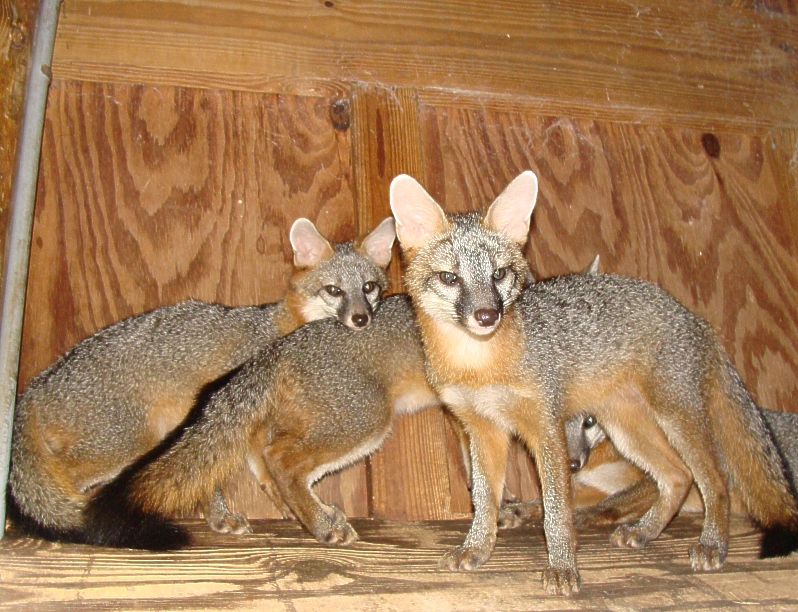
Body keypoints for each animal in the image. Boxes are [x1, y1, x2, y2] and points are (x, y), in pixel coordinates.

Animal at [8, 216, 396, 545]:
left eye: (369, 288)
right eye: (334, 291)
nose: (361, 319)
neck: (280, 330)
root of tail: (36, 384)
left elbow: (251, 469)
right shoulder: (235, 409)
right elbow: (253, 467)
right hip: (125, 444)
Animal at [81, 293, 439, 550]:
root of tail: (276, 348)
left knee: (273, 461)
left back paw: (317, 514)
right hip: (366, 421)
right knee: (280, 460)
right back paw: (321, 527)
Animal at [389, 170, 798, 596]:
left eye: (499, 274)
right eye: (450, 278)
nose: (487, 315)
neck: (478, 365)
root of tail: (695, 317)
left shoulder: (545, 428)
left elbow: (557, 509)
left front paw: (563, 566)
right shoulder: (484, 431)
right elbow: (485, 501)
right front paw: (477, 549)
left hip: (675, 421)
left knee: (714, 481)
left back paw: (712, 544)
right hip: (627, 430)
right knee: (677, 476)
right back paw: (646, 531)